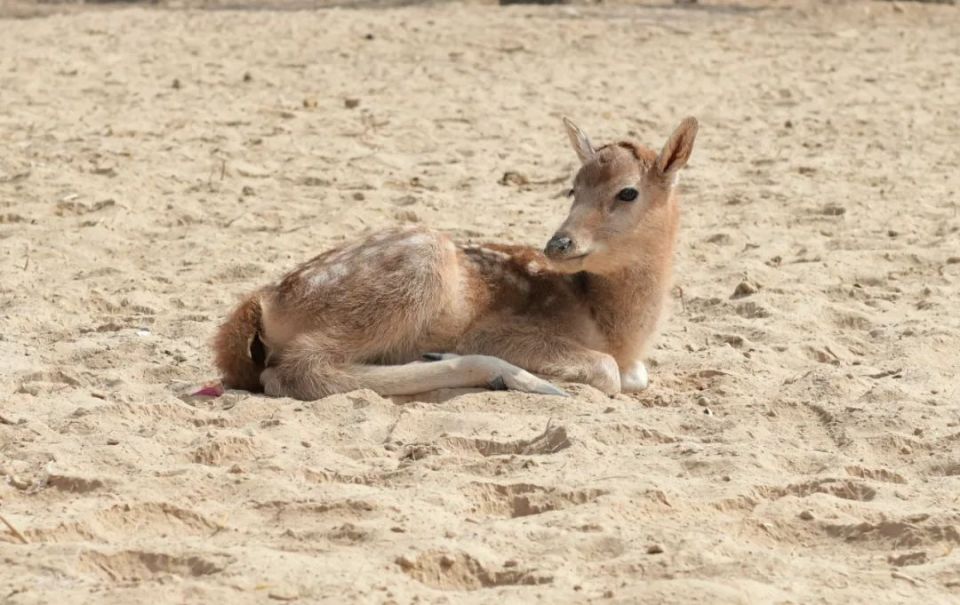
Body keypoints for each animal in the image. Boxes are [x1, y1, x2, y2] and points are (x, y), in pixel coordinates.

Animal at [213, 116, 698, 400]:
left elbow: (635, 375)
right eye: (572, 188)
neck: (614, 330)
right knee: (295, 371)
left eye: (628, 192)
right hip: (410, 275)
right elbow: (607, 370)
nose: (559, 244)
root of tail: (263, 300)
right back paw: (507, 376)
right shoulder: (498, 330)